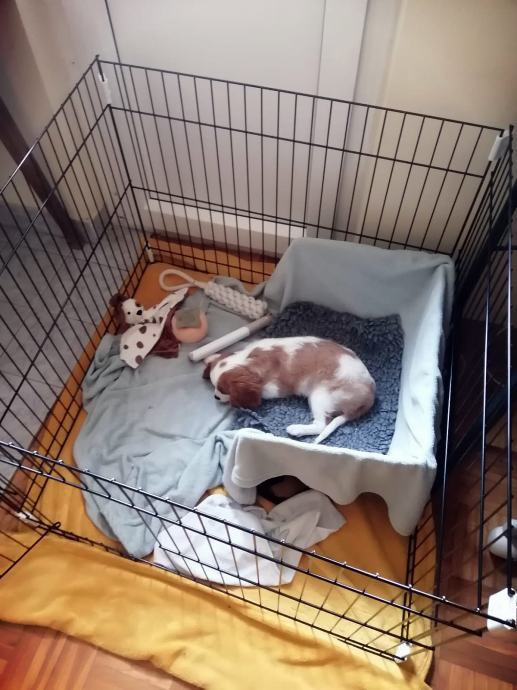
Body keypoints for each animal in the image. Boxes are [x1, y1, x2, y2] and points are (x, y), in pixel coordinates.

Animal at [203, 336, 375, 444]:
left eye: (224, 391)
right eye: (214, 387)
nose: (215, 397)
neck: (250, 359)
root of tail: (370, 396)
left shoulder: (274, 388)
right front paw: (210, 357)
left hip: (320, 395)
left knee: (321, 425)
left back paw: (296, 429)